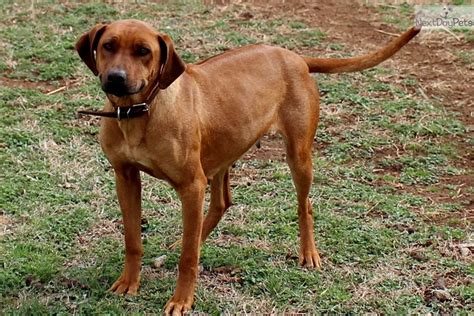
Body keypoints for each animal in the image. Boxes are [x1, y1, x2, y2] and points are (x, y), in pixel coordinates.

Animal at [76, 19, 420, 314]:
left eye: (144, 51)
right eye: (108, 45)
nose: (116, 78)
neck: (139, 113)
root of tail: (295, 56)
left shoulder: (191, 185)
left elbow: (188, 259)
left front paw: (182, 300)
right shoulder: (126, 177)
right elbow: (133, 240)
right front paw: (128, 282)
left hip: (297, 156)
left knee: (304, 205)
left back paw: (308, 254)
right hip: (222, 152)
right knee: (220, 203)